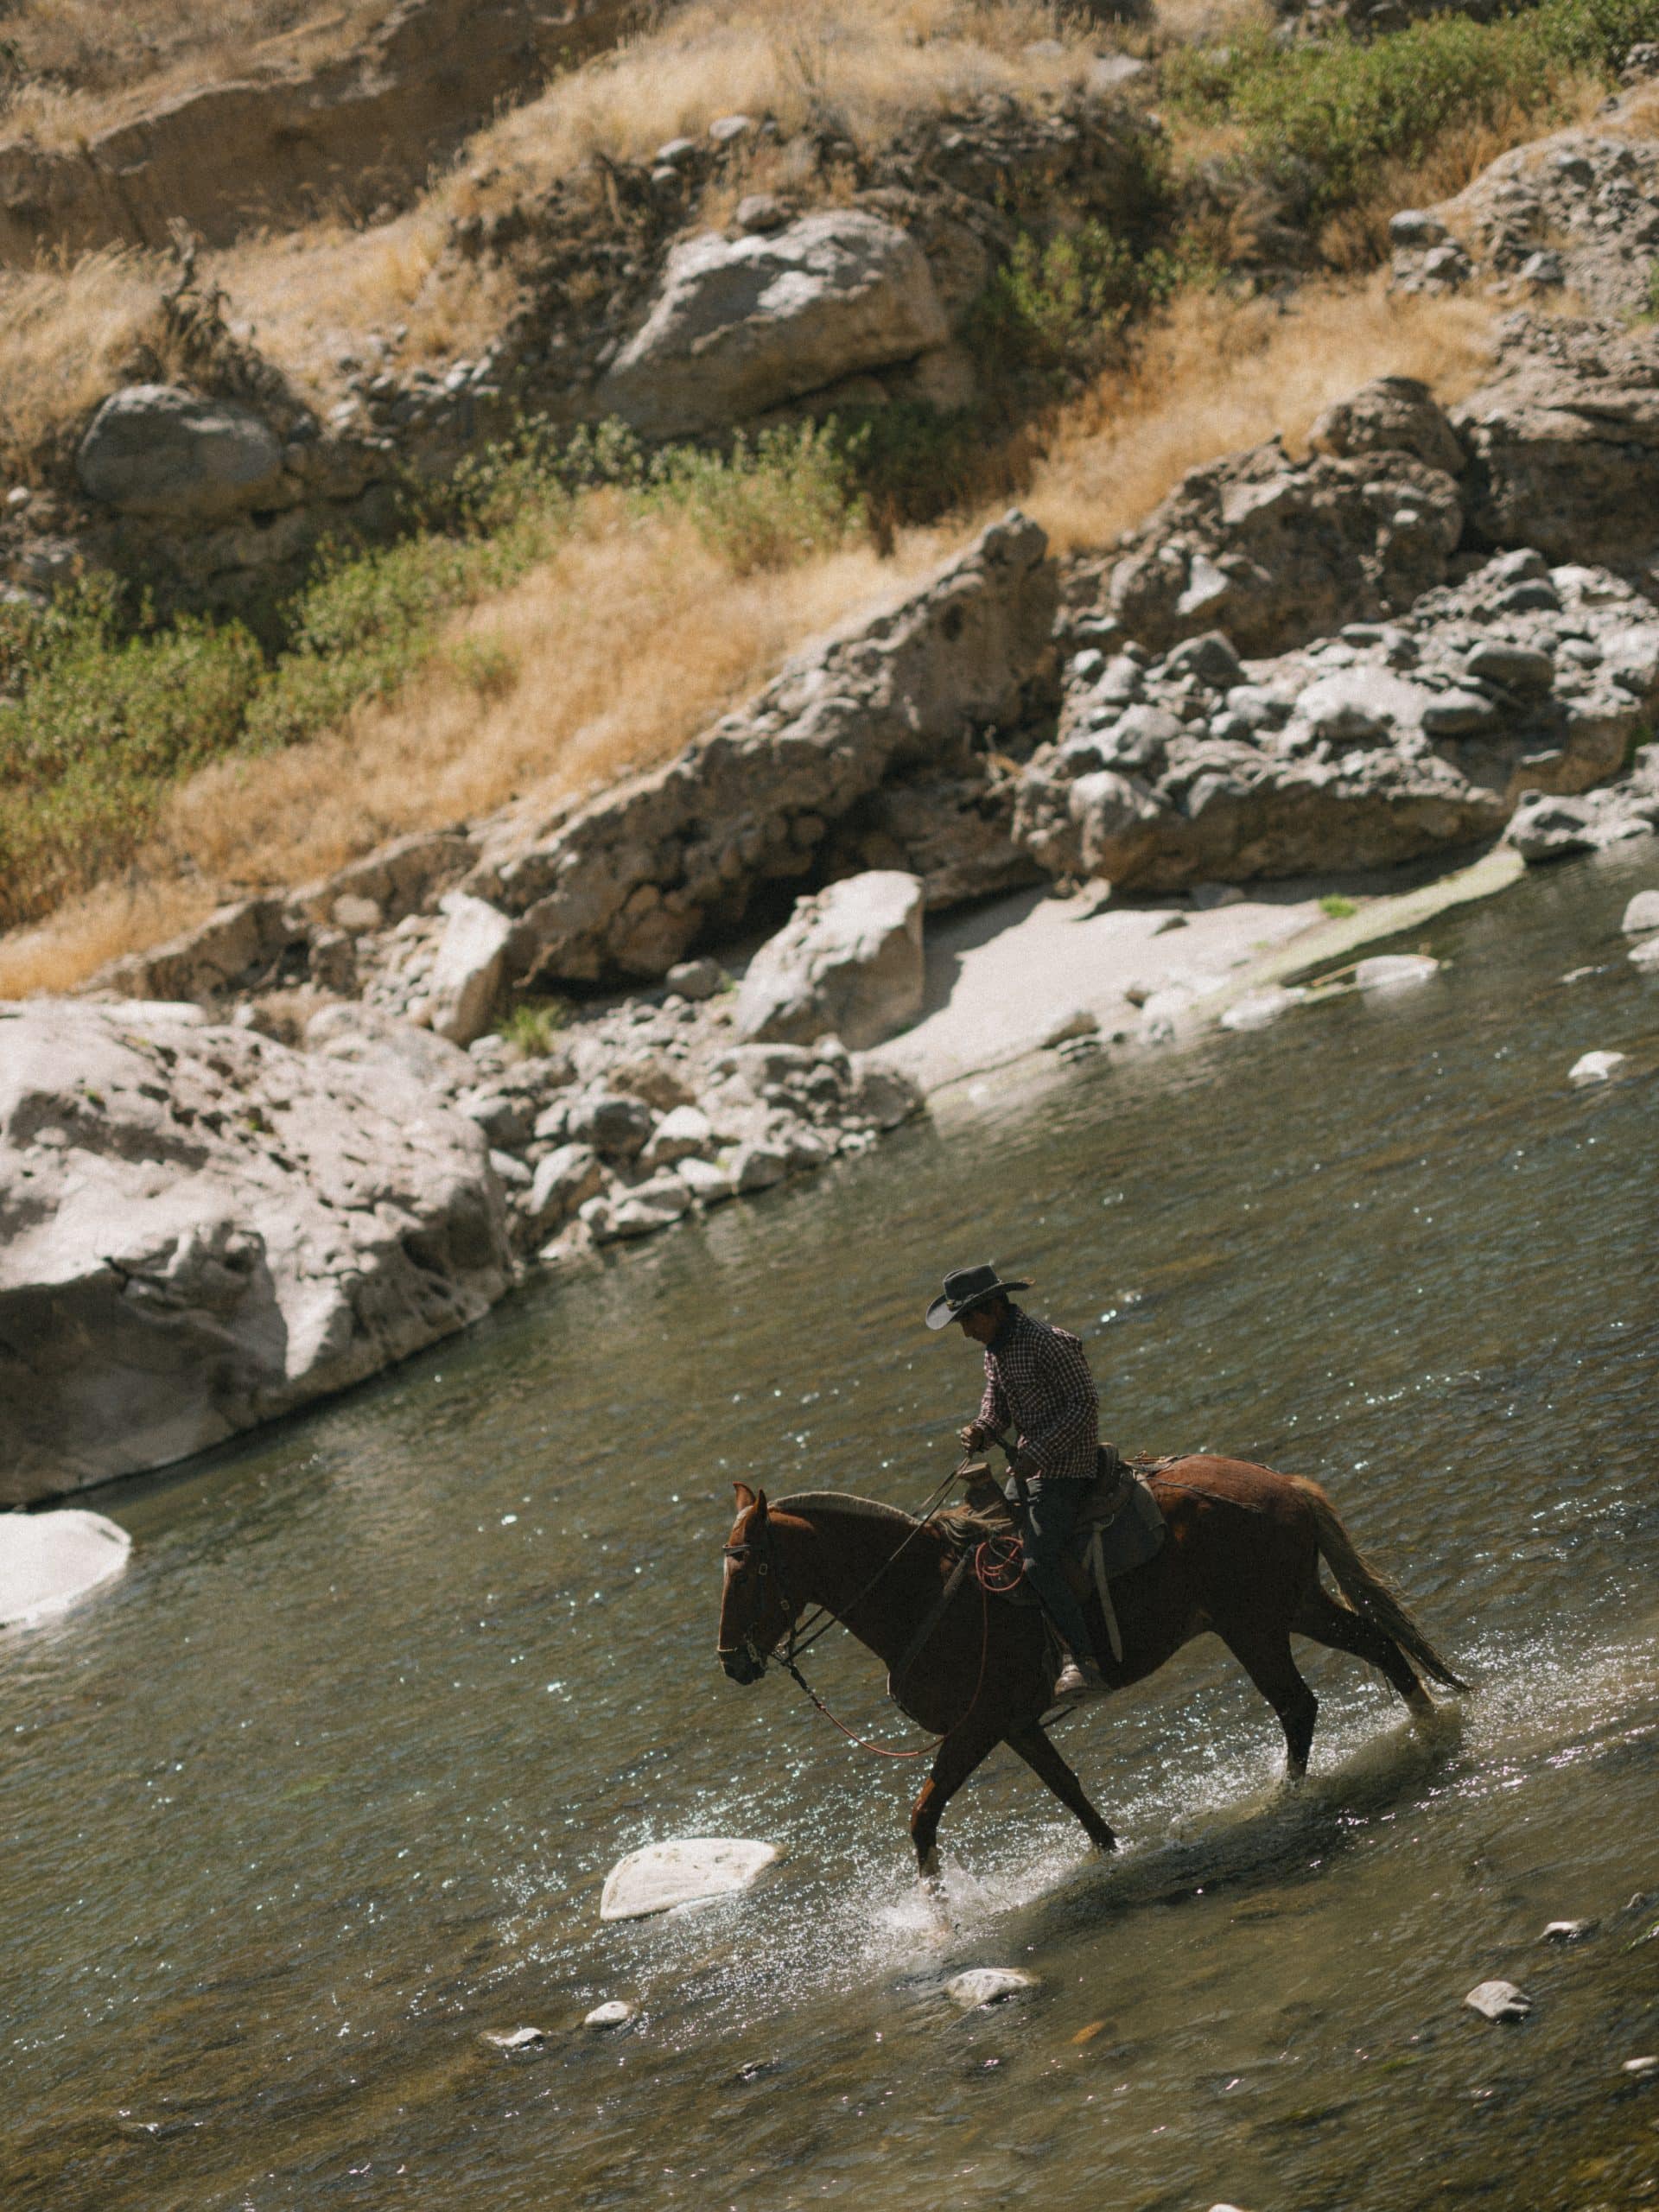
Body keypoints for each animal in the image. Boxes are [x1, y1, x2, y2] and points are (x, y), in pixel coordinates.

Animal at [716, 1459, 1468, 1875]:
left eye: (747, 1570)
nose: (731, 1663)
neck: (921, 1593)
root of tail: (1280, 1484)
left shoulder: (977, 1725)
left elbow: (923, 1818)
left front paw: (940, 1920)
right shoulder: (1016, 1724)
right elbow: (1071, 1795)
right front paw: (1109, 1854)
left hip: (1253, 1627)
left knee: (1297, 1705)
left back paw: (1282, 1799)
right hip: (1295, 1606)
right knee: (1377, 1643)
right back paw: (1429, 1724)